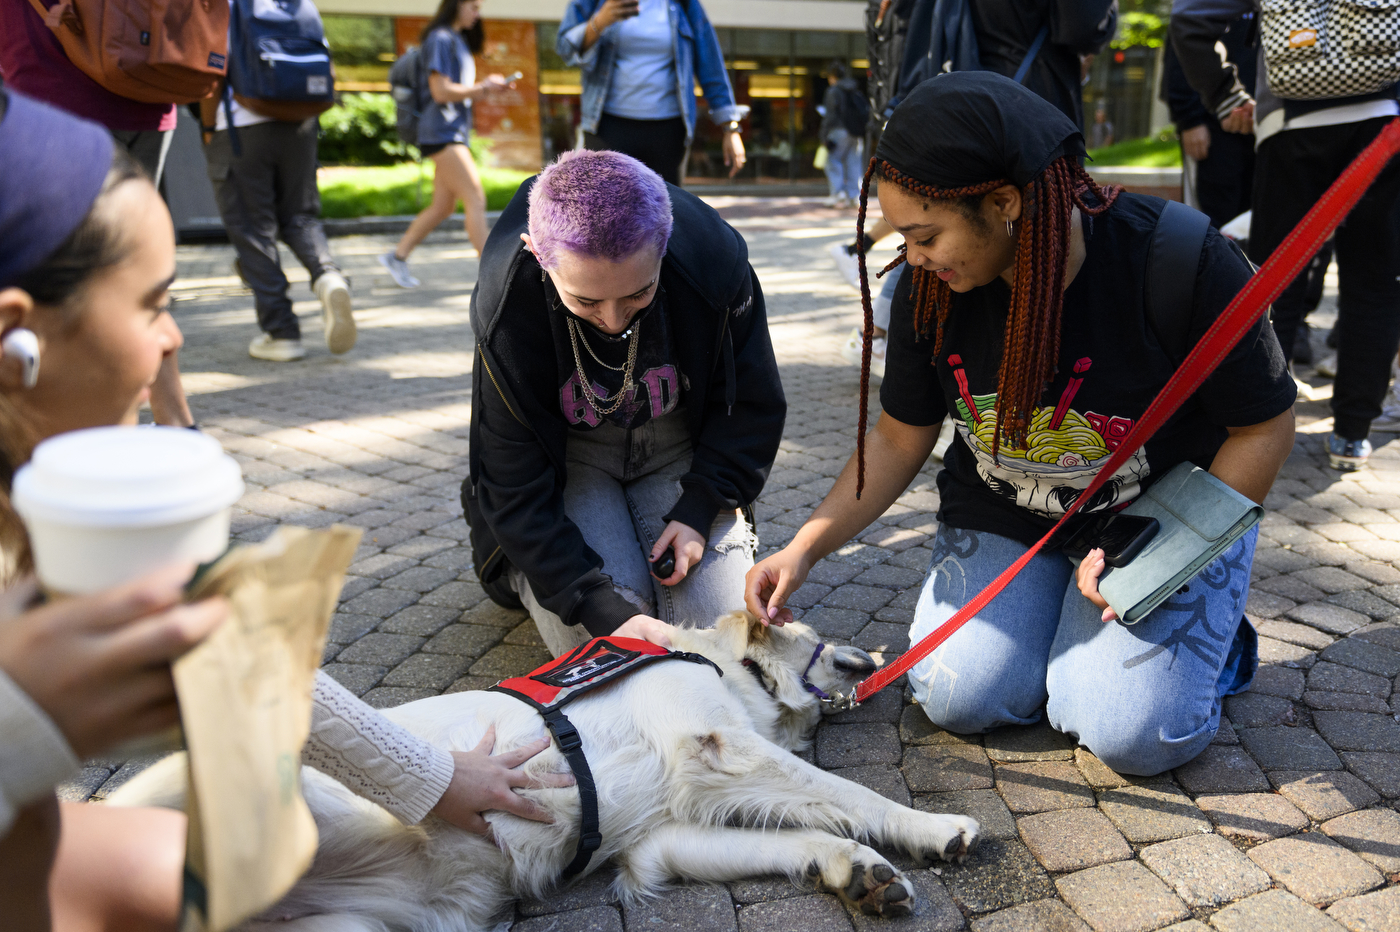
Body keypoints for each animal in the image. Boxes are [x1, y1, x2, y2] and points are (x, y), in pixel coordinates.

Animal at [114, 610, 980, 929]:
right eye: (810, 623)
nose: (875, 655)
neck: (716, 661)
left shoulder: (659, 841)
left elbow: (802, 836)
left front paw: (860, 872)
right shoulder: (715, 742)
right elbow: (850, 792)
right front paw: (934, 826)